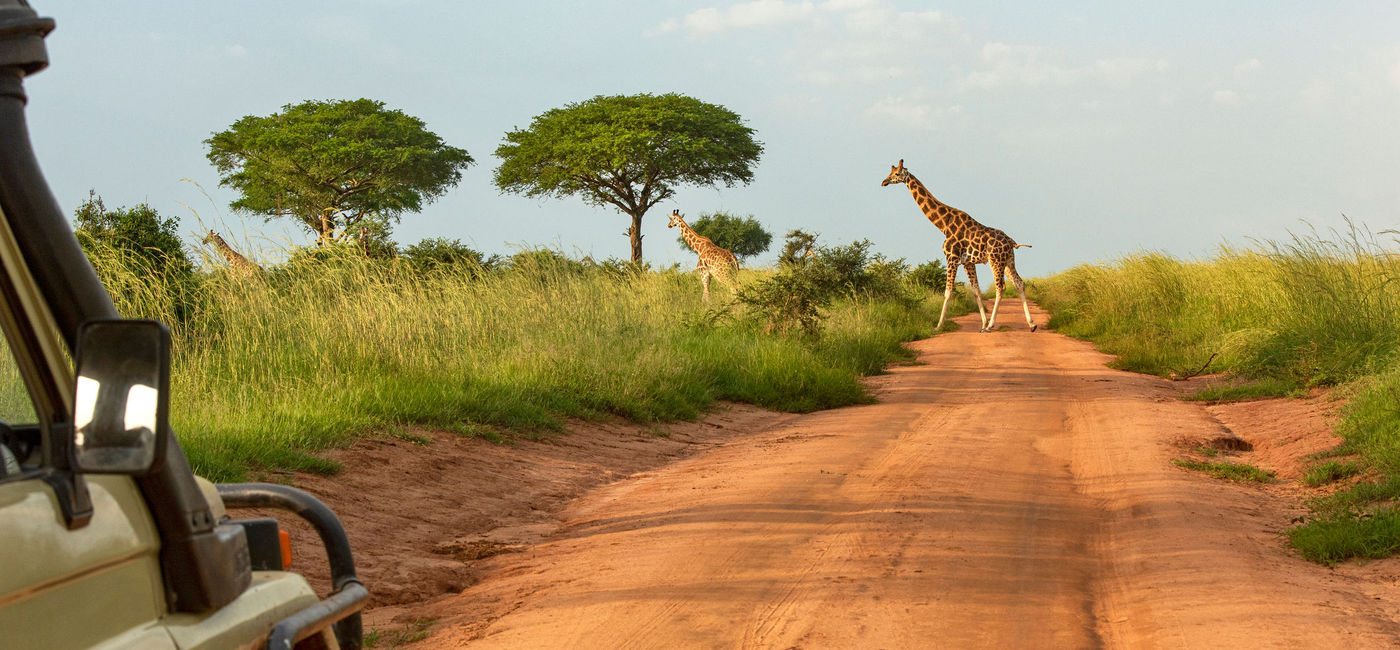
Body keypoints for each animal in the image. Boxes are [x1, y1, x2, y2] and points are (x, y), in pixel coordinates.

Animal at [879, 159, 1036, 332]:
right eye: (890, 172)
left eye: (896, 173)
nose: (884, 182)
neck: (943, 225)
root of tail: (1011, 242)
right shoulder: (968, 262)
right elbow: (976, 291)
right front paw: (983, 322)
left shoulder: (952, 258)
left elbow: (948, 292)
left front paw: (938, 326)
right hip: (1008, 261)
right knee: (1019, 283)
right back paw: (1031, 324)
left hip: (995, 260)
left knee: (1000, 287)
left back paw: (991, 326)